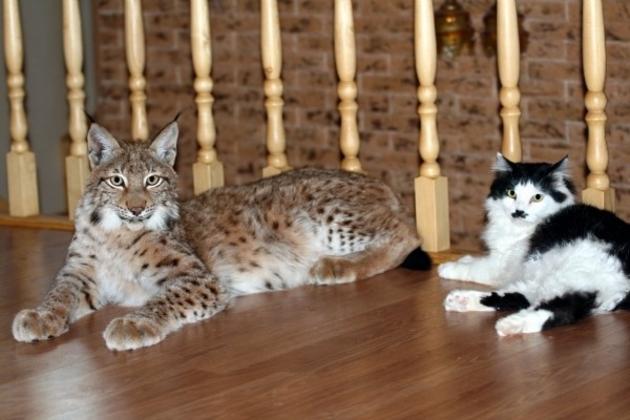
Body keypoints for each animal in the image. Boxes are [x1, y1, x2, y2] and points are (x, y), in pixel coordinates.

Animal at [440, 153, 630, 334]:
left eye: (537, 197)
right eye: (511, 193)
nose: (519, 212)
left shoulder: (502, 264)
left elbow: (475, 268)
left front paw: (447, 267)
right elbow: (476, 260)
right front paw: (463, 259)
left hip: (573, 275)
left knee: (557, 311)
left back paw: (508, 325)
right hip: (544, 278)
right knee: (518, 297)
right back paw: (459, 300)